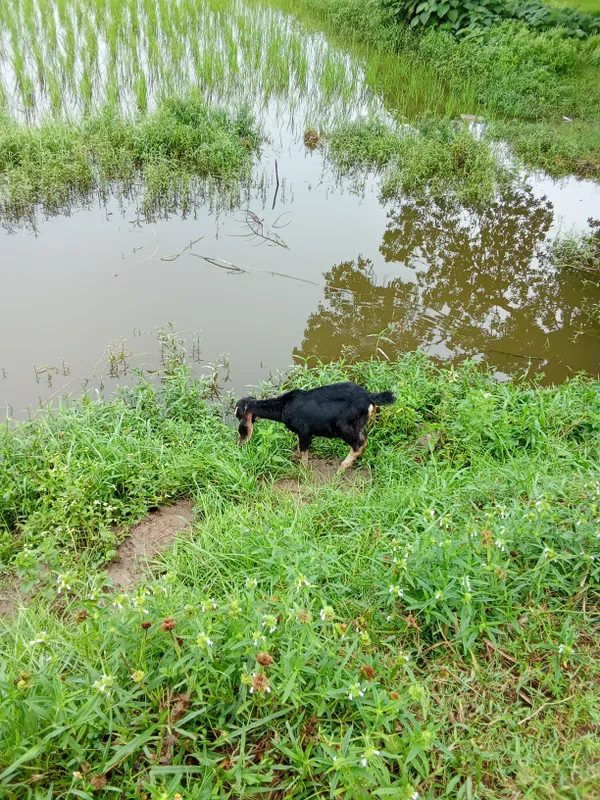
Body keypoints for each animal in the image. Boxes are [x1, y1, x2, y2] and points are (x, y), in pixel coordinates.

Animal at [237, 384, 396, 472]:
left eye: (238, 416)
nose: (239, 444)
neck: (283, 407)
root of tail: (369, 396)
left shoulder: (305, 432)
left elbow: (304, 450)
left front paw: (303, 470)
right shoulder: (300, 433)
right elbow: (299, 446)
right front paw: (295, 458)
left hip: (344, 427)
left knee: (360, 444)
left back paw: (341, 468)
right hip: (358, 424)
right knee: (365, 438)